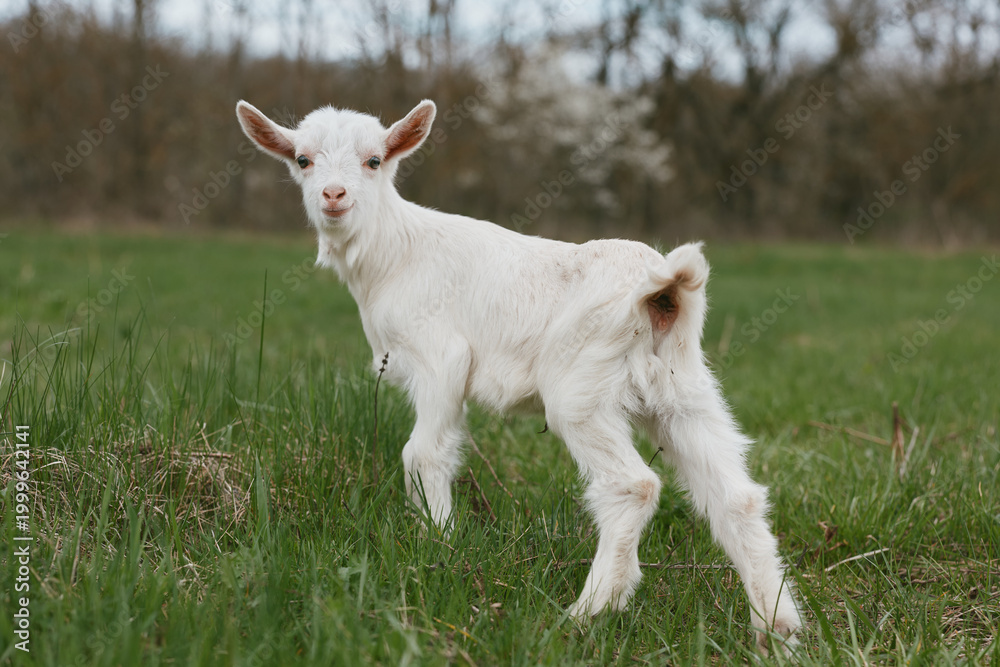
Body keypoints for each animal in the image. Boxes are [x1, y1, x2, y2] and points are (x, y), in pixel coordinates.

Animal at [236, 98, 802, 650]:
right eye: (302, 160)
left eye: (374, 160)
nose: (334, 195)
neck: (395, 251)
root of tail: (663, 292)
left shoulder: (440, 357)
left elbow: (423, 454)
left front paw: (438, 545)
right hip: (684, 392)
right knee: (737, 497)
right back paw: (777, 629)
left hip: (581, 390)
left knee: (633, 486)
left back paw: (586, 613)